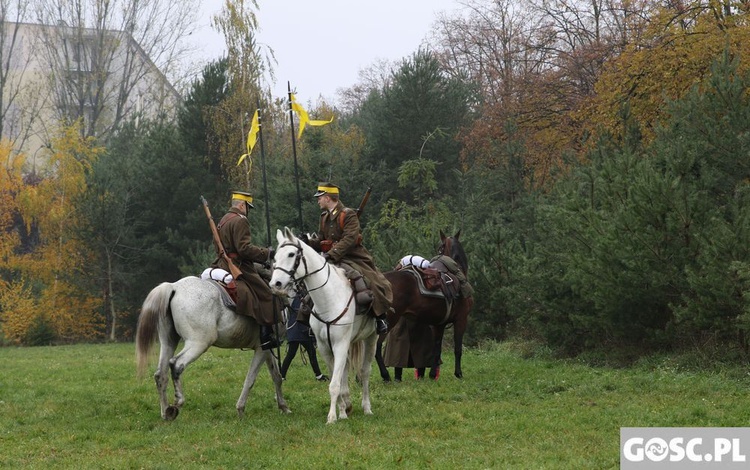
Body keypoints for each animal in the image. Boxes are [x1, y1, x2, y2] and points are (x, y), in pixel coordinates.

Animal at [135, 276, 290, 418]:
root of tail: (174, 287)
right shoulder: (262, 348)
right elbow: (251, 379)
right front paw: (240, 409)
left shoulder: (267, 349)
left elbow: (276, 376)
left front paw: (283, 407)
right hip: (199, 343)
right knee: (176, 364)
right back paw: (178, 402)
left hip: (168, 342)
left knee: (160, 374)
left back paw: (166, 412)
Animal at [270, 226, 378, 424]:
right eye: (275, 256)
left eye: (291, 254)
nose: (276, 284)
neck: (328, 298)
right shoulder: (325, 347)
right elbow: (337, 380)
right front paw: (341, 412)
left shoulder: (340, 344)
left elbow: (335, 384)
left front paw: (332, 417)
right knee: (345, 370)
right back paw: (347, 406)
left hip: (372, 338)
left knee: (365, 371)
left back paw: (367, 407)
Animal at [376, 231, 476, 382]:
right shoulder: (461, 320)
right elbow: (457, 349)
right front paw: (458, 373)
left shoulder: (439, 324)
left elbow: (437, 348)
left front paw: (433, 374)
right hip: (388, 321)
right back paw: (385, 375)